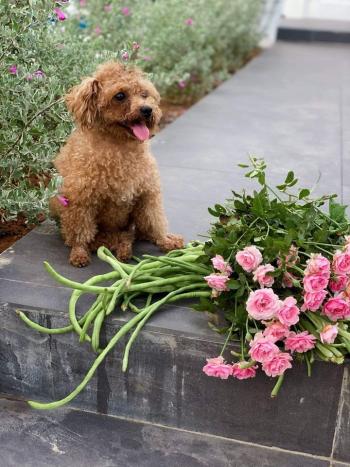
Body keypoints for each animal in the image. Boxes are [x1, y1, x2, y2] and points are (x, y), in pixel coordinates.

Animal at [51, 62, 186, 266]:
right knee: (96, 237)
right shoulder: (80, 200)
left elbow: (155, 222)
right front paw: (79, 253)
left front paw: (164, 240)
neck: (119, 146)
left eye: (144, 94)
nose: (147, 110)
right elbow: (80, 232)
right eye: (120, 96)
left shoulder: (147, 194)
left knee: (140, 232)